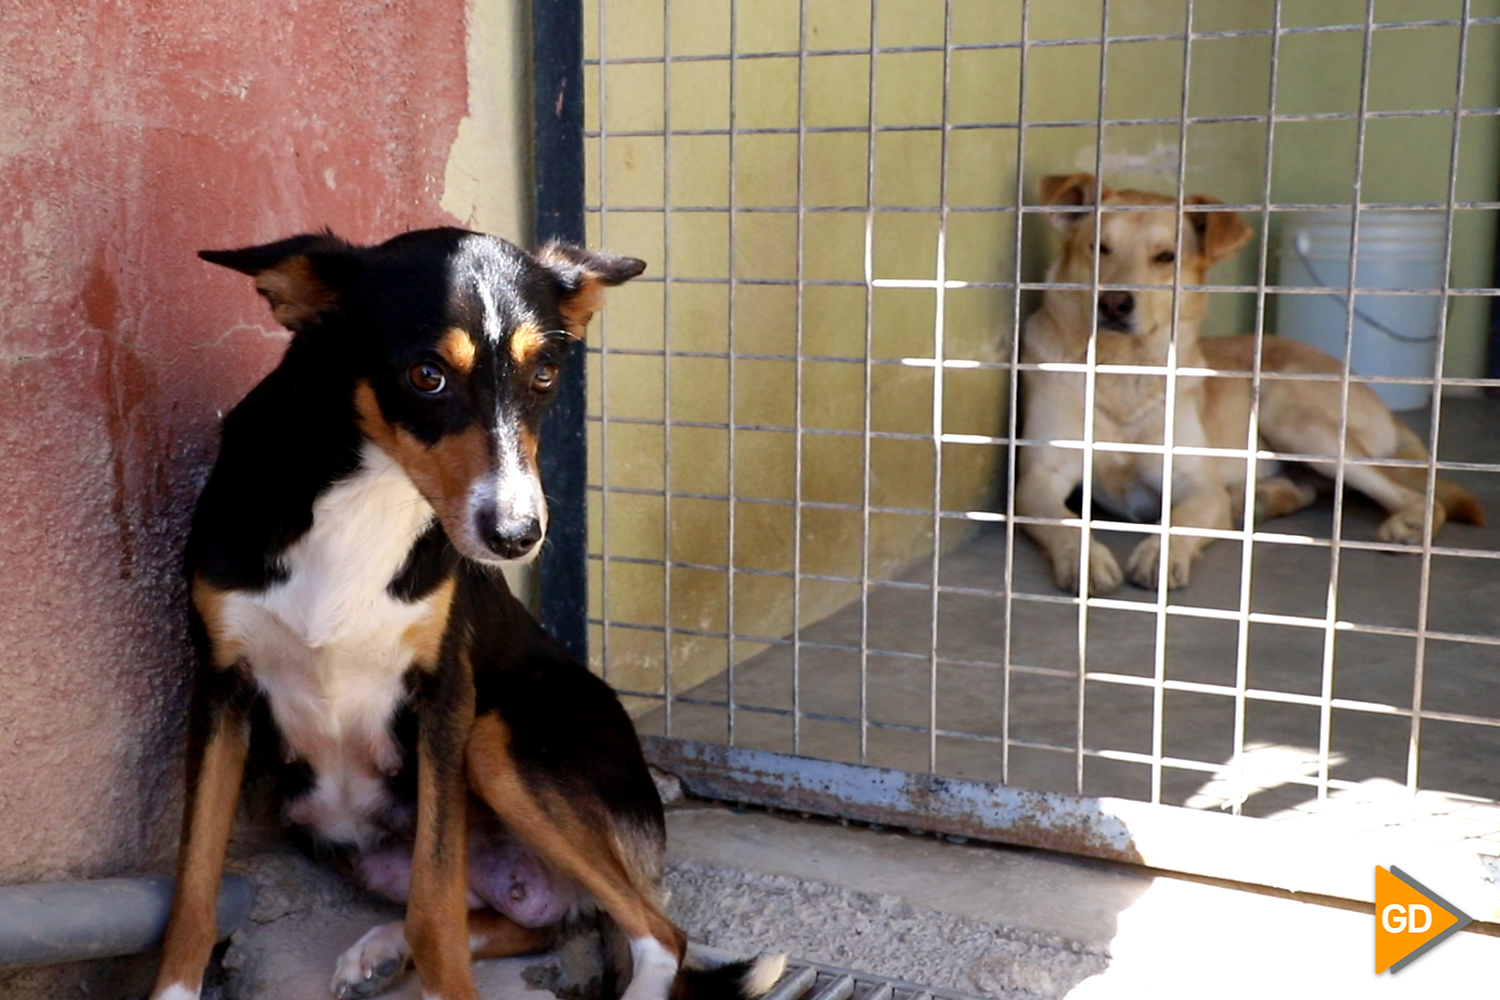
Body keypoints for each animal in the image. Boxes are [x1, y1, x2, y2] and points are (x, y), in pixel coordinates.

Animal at [149, 230, 786, 1000]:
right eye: (427, 375)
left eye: (544, 374)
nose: (517, 536)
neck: (365, 496)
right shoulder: (220, 689)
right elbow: (194, 889)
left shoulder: (447, 698)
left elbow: (437, 909)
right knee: (533, 921)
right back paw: (381, 949)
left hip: (495, 742)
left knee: (658, 933)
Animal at [1014, 173, 1482, 593]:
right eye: (1099, 247)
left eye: (1166, 257)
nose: (1113, 302)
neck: (1124, 372)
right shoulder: (1039, 479)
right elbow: (1065, 522)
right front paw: (1085, 559)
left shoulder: (1197, 485)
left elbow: (1181, 520)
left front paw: (1161, 555)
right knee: (1303, 489)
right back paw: (1256, 501)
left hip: (1290, 413)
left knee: (1416, 496)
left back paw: (1407, 524)